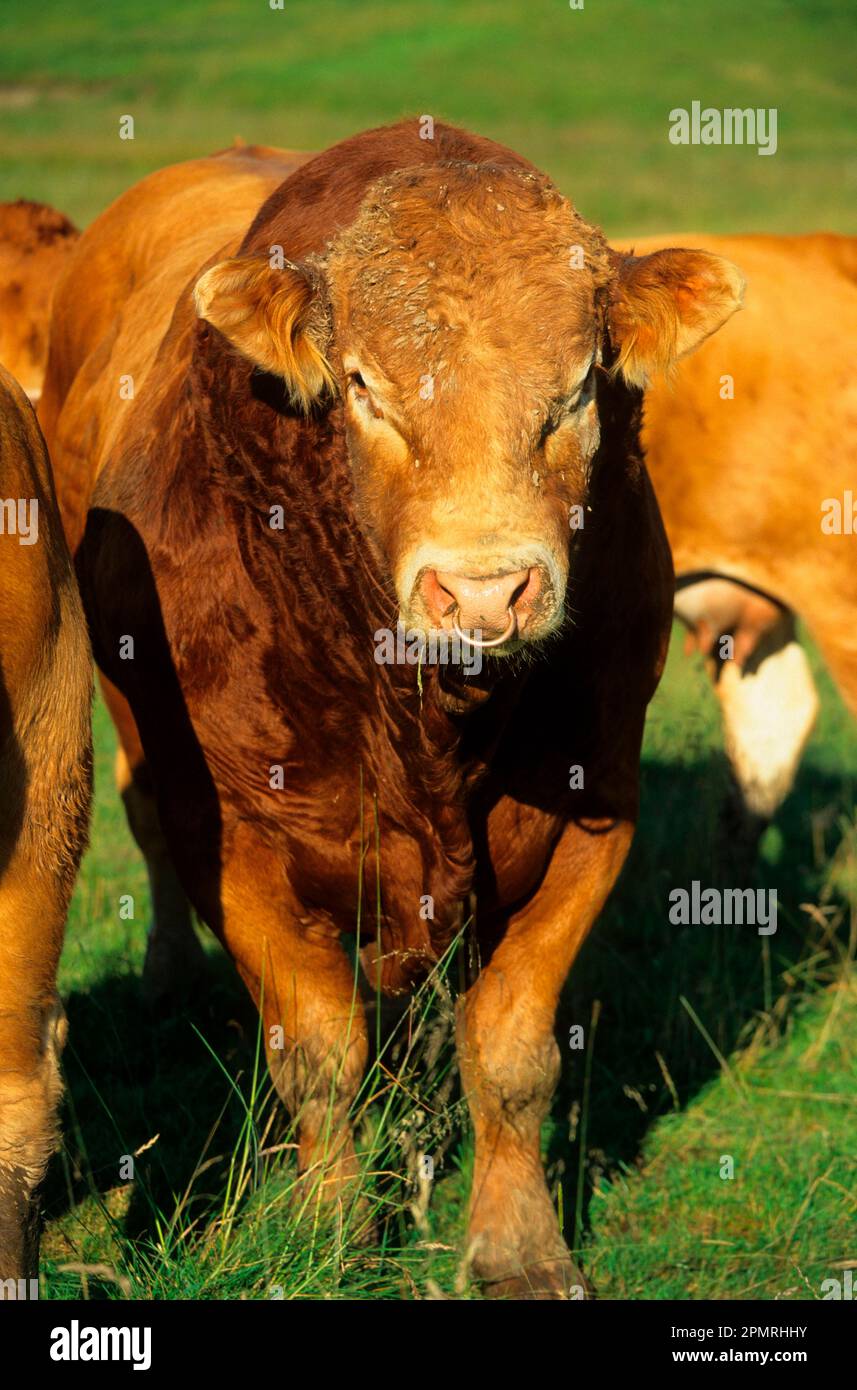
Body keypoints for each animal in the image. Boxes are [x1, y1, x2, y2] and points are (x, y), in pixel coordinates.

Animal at [41, 122, 744, 1301]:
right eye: (365, 386)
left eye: (576, 392)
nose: (483, 593)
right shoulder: (236, 835)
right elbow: (318, 1058)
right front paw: (327, 1235)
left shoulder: (592, 808)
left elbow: (509, 1056)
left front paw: (517, 1249)